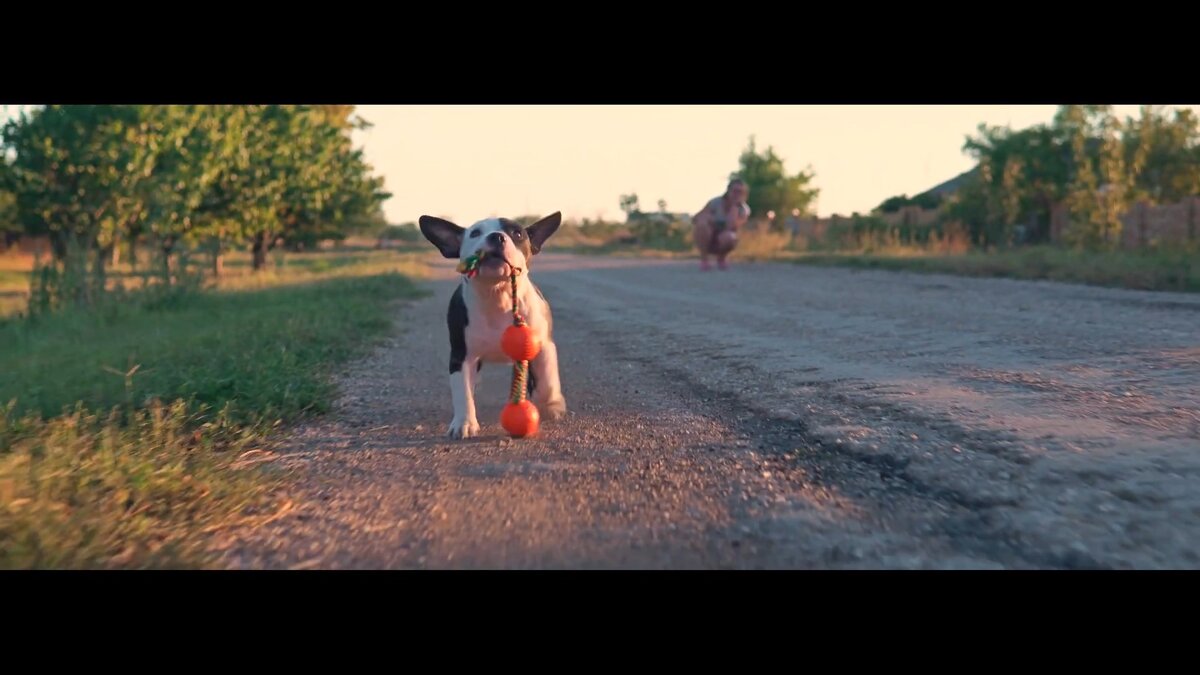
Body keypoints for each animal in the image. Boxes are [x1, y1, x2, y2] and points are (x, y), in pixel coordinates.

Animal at [417, 212, 566, 439]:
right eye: (475, 233)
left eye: (518, 233)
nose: (496, 237)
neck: (497, 294)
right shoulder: (461, 356)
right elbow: (462, 392)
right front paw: (464, 423)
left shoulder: (544, 346)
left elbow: (547, 380)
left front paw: (550, 404)